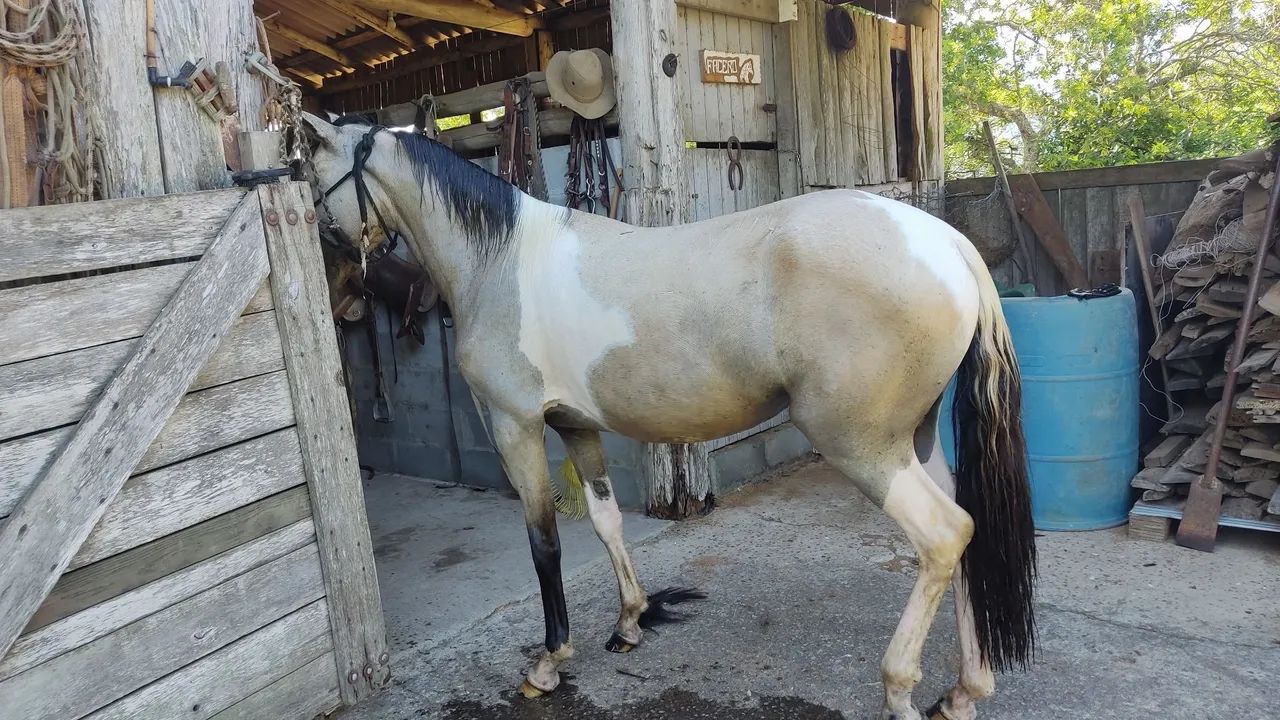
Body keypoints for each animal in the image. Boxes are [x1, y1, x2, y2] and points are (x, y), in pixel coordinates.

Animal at [299, 114, 1036, 720]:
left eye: (311, 176)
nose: (336, 298)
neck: (501, 259)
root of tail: (944, 242)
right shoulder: (575, 425)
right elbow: (605, 522)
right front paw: (628, 623)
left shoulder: (515, 426)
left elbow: (543, 542)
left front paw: (548, 663)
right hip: (916, 438)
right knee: (966, 531)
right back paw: (963, 691)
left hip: (863, 445)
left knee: (943, 536)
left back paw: (899, 689)